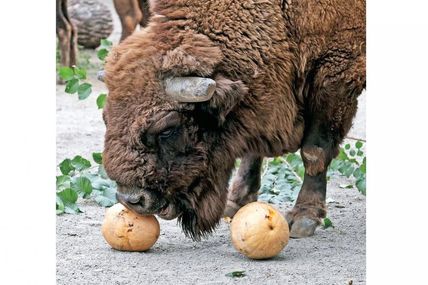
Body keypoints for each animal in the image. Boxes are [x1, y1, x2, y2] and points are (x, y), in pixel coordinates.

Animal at [99, 0, 364, 240]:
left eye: (166, 129)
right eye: (105, 118)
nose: (132, 200)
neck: (280, 12)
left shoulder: (336, 72)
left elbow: (314, 152)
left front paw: (304, 218)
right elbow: (252, 151)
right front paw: (235, 204)